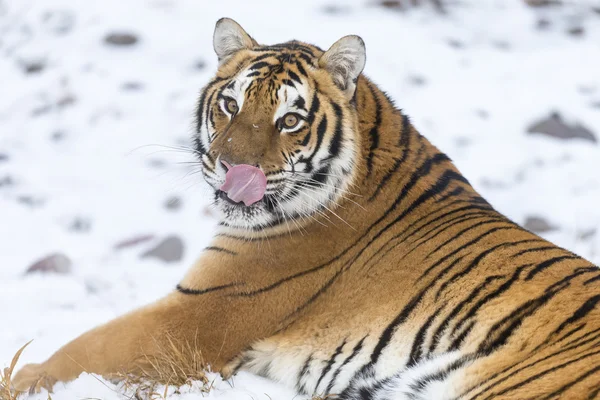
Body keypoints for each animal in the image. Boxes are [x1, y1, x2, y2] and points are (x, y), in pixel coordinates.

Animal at [12, 17, 600, 398]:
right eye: (231, 104)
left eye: (289, 120)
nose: (234, 170)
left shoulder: (195, 313)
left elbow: (82, 351)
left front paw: (20, 377)